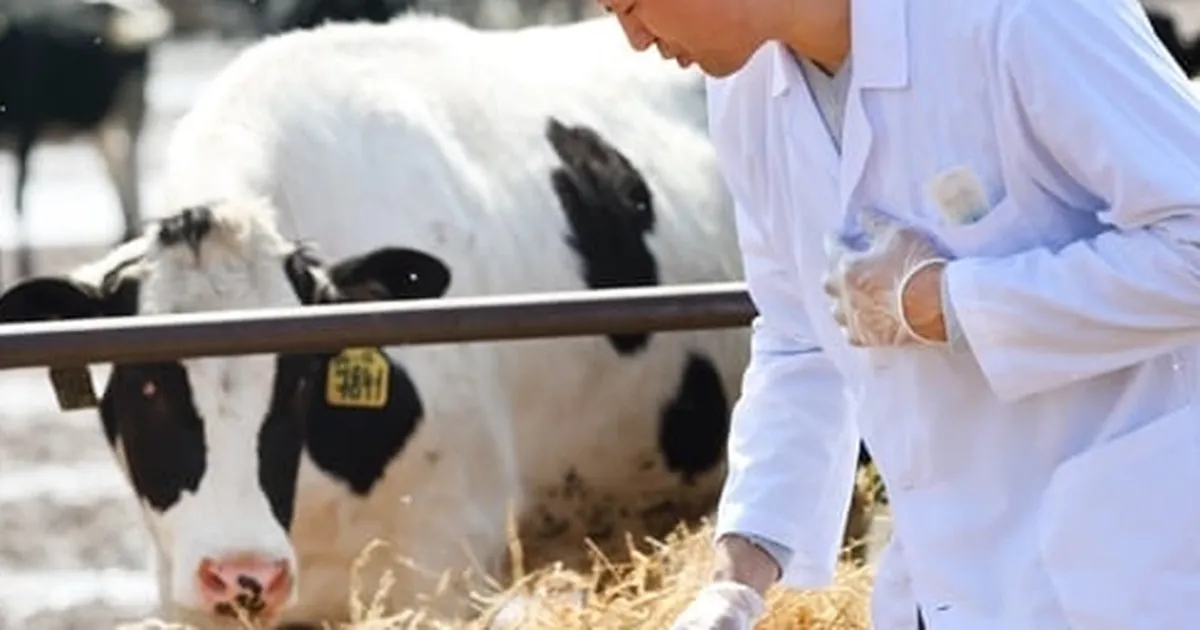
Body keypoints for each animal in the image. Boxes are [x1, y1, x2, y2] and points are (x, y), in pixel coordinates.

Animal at [0, 0, 174, 284]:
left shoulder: (28, 128)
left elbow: (18, 201)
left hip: (128, 111)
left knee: (128, 175)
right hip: (104, 127)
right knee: (120, 175)